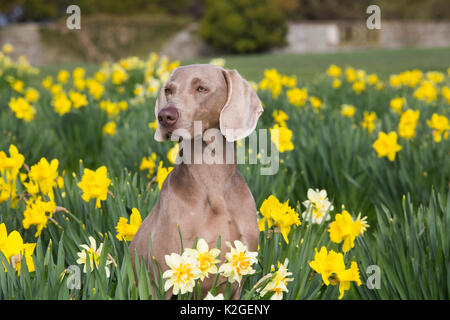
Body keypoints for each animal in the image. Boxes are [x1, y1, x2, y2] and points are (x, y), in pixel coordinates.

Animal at [129, 63, 264, 298]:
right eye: (168, 91)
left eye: (201, 88)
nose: (165, 116)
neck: (211, 179)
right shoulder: (163, 279)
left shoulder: (239, 278)